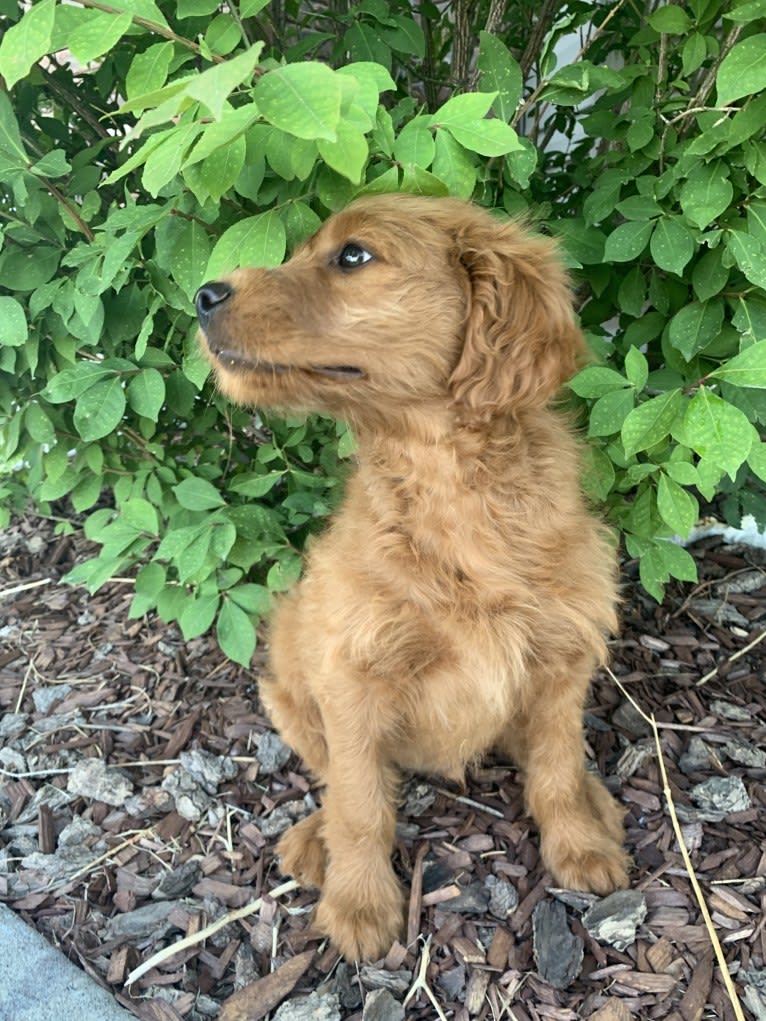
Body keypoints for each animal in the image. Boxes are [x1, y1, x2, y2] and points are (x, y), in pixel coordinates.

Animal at [196, 195, 629, 959]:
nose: (203, 295)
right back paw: (314, 841)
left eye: (353, 255)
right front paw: (360, 906)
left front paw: (578, 844)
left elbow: (554, 768)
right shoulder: (351, 677)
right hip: (287, 686)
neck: (447, 484)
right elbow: (361, 804)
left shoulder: (562, 658)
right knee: (336, 778)